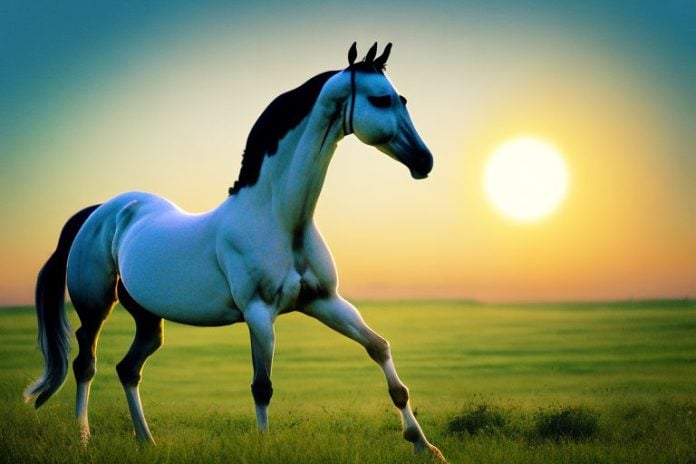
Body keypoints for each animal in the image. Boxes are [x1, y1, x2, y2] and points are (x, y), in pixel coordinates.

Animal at [25, 42, 445, 462]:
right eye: (380, 99)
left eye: (402, 99)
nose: (424, 161)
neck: (278, 218)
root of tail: (100, 211)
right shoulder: (259, 314)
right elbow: (262, 387)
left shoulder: (325, 302)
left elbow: (379, 349)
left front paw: (424, 445)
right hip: (95, 305)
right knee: (85, 363)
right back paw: (83, 438)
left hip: (148, 319)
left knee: (128, 369)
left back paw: (146, 440)